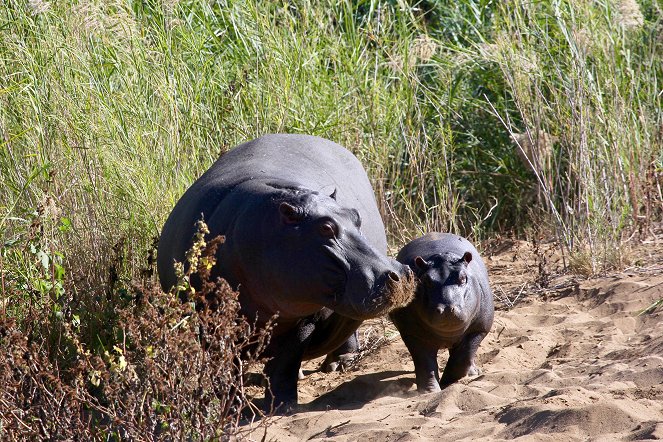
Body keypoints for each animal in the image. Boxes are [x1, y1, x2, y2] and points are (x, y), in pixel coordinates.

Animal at [158, 134, 412, 408]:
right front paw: (231, 404)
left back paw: (338, 364)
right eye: (325, 228)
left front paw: (283, 405)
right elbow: (226, 363)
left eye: (356, 216)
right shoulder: (211, 318)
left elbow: (286, 360)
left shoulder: (303, 317)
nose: (400, 272)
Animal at [392, 233, 496, 392]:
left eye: (463, 278)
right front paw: (429, 391)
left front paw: (447, 384)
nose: (447, 308)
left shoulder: (478, 330)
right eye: (426, 280)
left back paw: (473, 373)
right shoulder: (412, 334)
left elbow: (462, 358)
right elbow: (425, 363)